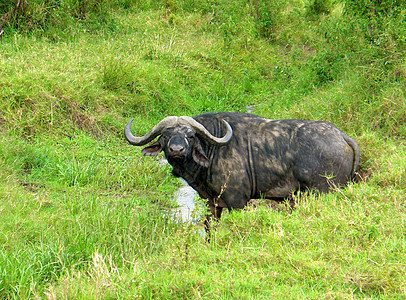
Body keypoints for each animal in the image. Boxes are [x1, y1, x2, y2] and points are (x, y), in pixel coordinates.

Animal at [123, 112, 358, 227]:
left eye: (190, 135)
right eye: (165, 135)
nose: (176, 150)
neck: (213, 151)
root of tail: (341, 136)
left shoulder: (237, 201)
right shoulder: (212, 203)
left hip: (323, 191)